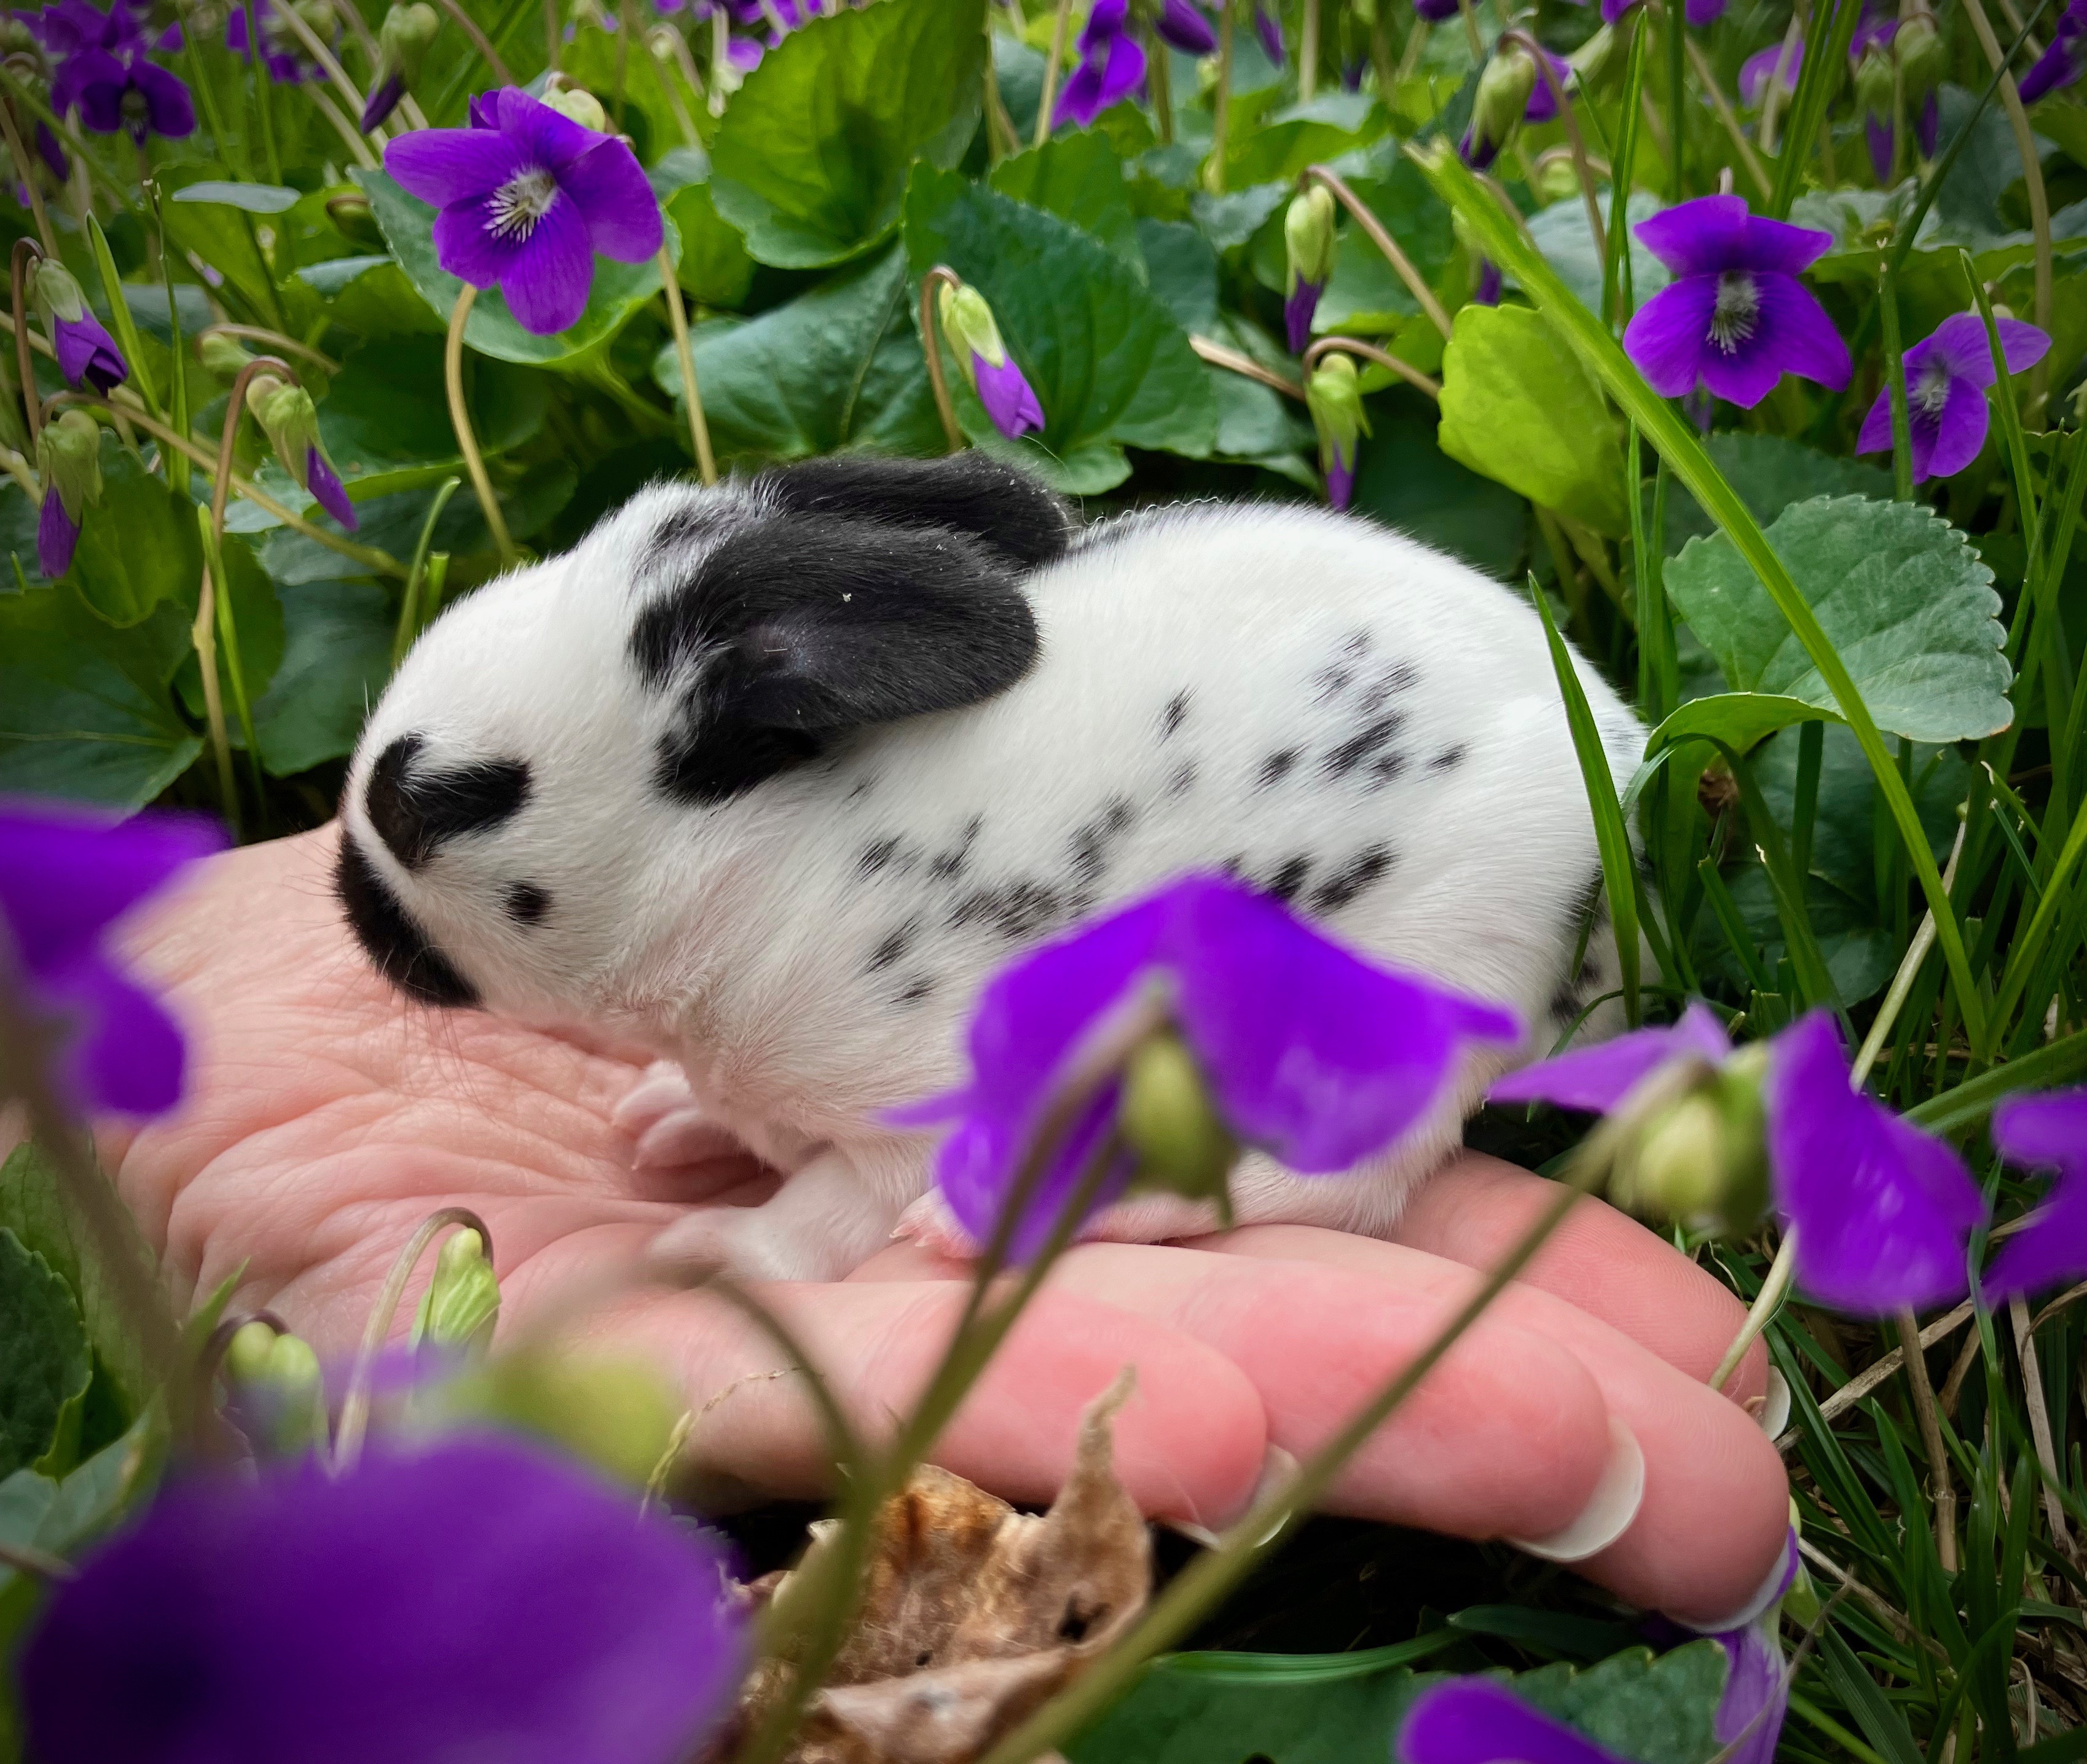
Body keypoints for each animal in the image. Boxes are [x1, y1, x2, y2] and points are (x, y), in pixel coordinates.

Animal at [335, 452, 1646, 1283]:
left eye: (429, 800)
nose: (347, 903)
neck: (760, 872)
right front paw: (673, 1116)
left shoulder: (912, 1115)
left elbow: (825, 1216)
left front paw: (716, 1257)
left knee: (1338, 1183)